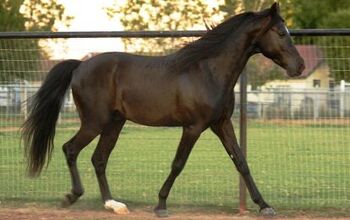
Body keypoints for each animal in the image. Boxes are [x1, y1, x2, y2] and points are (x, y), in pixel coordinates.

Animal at [23, 2, 304, 217]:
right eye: (281, 33)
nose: (299, 67)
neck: (207, 71)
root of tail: (79, 66)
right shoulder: (193, 127)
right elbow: (178, 164)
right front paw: (160, 205)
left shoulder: (221, 124)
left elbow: (241, 162)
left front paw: (265, 206)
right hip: (95, 122)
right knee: (70, 149)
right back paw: (72, 196)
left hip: (115, 124)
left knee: (99, 159)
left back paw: (113, 205)